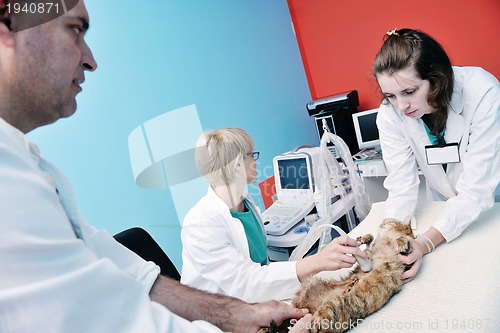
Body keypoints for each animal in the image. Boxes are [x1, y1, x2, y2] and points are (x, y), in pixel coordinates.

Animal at [258, 218, 414, 332]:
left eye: (392, 222)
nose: (383, 222)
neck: (387, 239)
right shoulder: (370, 249)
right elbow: (370, 238)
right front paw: (362, 238)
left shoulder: (403, 264)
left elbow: (407, 242)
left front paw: (402, 242)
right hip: (311, 286)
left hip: (330, 303)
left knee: (315, 323)